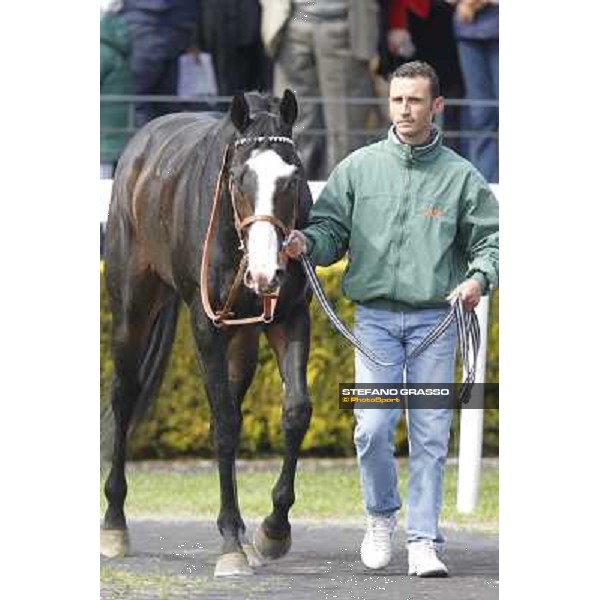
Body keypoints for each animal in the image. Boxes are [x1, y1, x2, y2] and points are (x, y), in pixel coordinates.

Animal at [99, 90, 314, 576]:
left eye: (293, 177)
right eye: (238, 178)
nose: (265, 273)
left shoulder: (291, 316)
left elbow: (294, 411)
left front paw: (273, 530)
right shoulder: (206, 325)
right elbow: (226, 425)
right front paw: (231, 542)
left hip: (242, 338)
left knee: (229, 401)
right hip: (132, 307)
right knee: (125, 394)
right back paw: (114, 523)